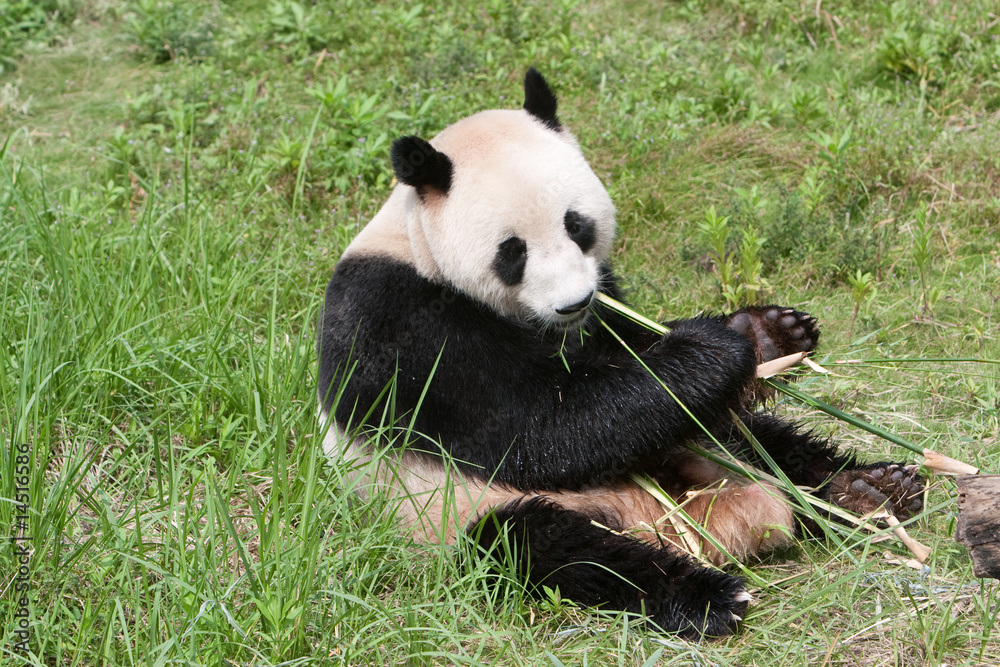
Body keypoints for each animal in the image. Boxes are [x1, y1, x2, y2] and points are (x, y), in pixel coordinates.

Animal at [317, 68, 924, 638]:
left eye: (576, 224)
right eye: (513, 251)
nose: (573, 303)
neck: (417, 244)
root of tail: (663, 518)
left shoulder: (603, 298)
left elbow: (632, 358)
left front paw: (769, 333)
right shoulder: (401, 325)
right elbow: (542, 427)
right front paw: (719, 349)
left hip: (710, 448)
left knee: (760, 440)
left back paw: (870, 491)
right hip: (454, 511)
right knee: (551, 551)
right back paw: (706, 596)